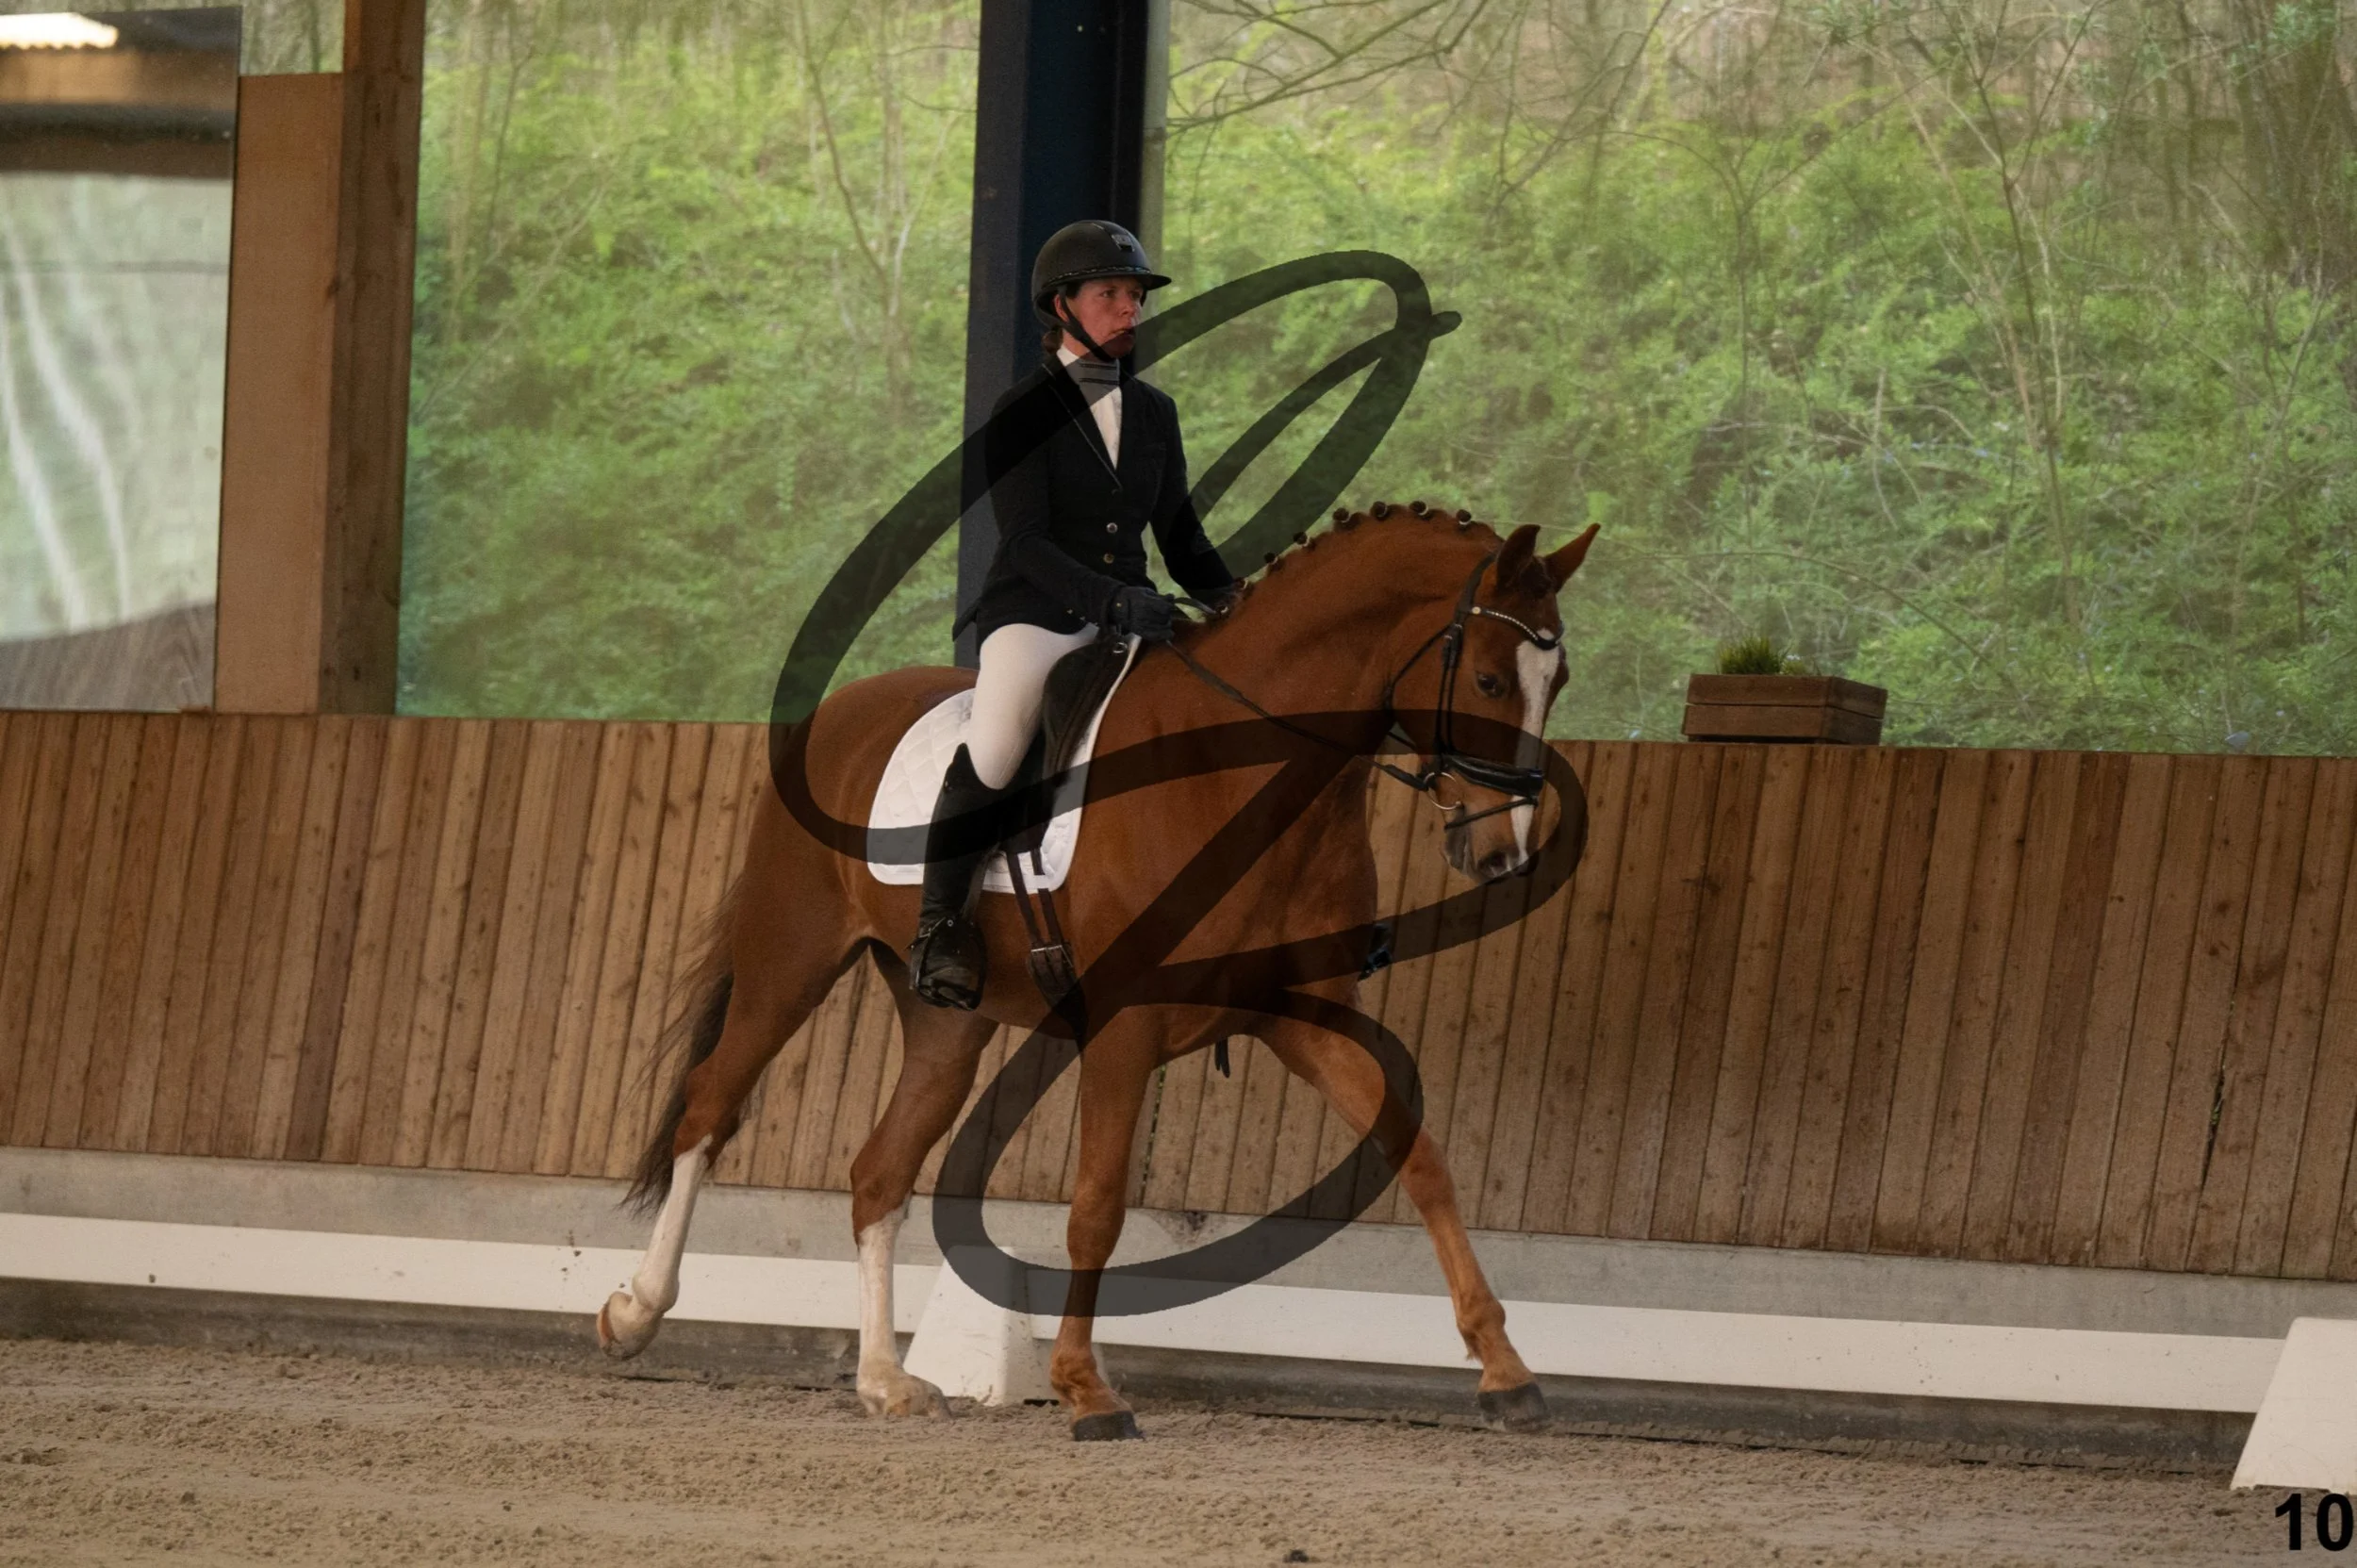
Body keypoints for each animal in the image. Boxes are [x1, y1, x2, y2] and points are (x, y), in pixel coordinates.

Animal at [595, 500, 1598, 1439]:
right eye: (1488, 678)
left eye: (1559, 683)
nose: (1501, 853)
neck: (1241, 769)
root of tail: (837, 712)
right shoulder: (1124, 1025)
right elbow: (1098, 1204)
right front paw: (1086, 1390)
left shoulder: (1300, 1017)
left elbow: (1419, 1155)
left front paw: (1506, 1372)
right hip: (790, 959)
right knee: (710, 1104)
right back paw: (636, 1313)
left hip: (946, 1020)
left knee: (879, 1169)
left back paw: (885, 1382)